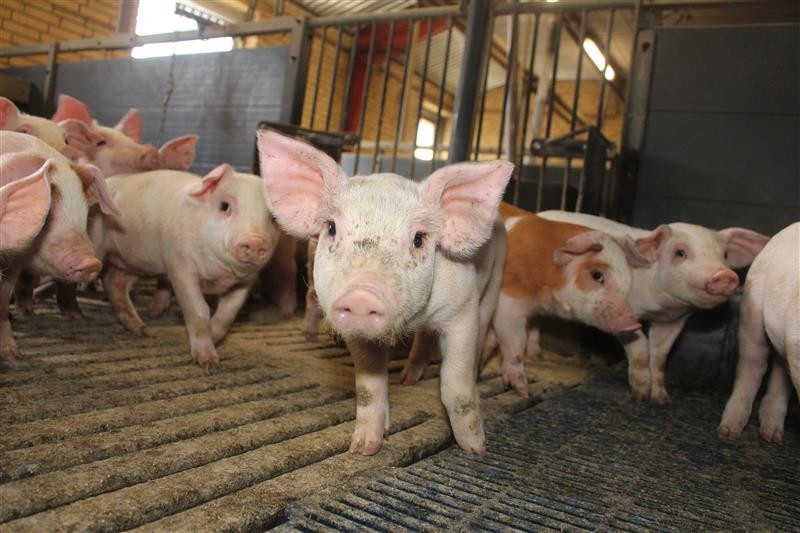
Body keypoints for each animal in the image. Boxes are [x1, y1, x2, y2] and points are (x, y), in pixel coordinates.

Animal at [90, 166, 280, 367]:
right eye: (224, 206)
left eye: (273, 218)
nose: (255, 241)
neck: (218, 276)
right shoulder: (179, 265)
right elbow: (199, 310)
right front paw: (208, 364)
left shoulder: (246, 282)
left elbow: (228, 314)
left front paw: (213, 341)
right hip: (97, 245)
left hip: (131, 262)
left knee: (113, 282)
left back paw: (143, 330)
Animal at [258, 129, 513, 456]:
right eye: (331, 228)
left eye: (418, 239)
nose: (361, 296)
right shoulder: (356, 334)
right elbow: (368, 387)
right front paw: (363, 449)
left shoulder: (462, 313)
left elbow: (457, 388)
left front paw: (476, 449)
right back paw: (406, 379)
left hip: (496, 278)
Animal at [538, 210, 770, 403]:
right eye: (680, 253)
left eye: (724, 255)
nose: (725, 275)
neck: (660, 305)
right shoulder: (622, 310)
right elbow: (640, 345)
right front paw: (639, 395)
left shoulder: (672, 322)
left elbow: (660, 357)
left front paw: (661, 399)